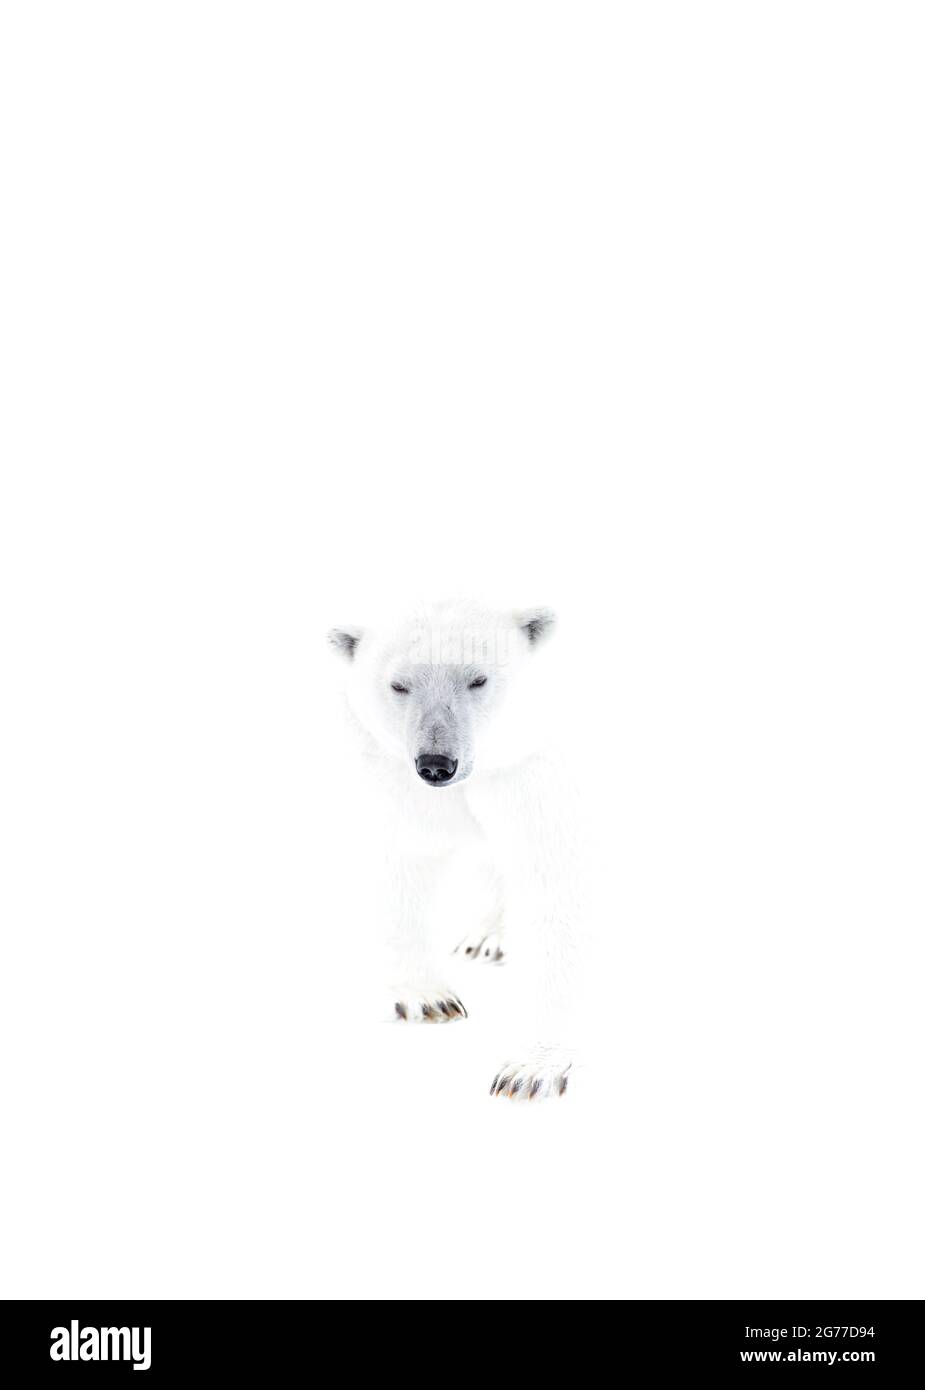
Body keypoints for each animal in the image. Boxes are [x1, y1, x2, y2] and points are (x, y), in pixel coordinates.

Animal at [328, 603, 581, 1100]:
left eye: (478, 679)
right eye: (399, 684)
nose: (436, 764)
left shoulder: (537, 762)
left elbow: (551, 883)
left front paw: (530, 1070)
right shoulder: (384, 759)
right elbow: (404, 853)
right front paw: (429, 998)